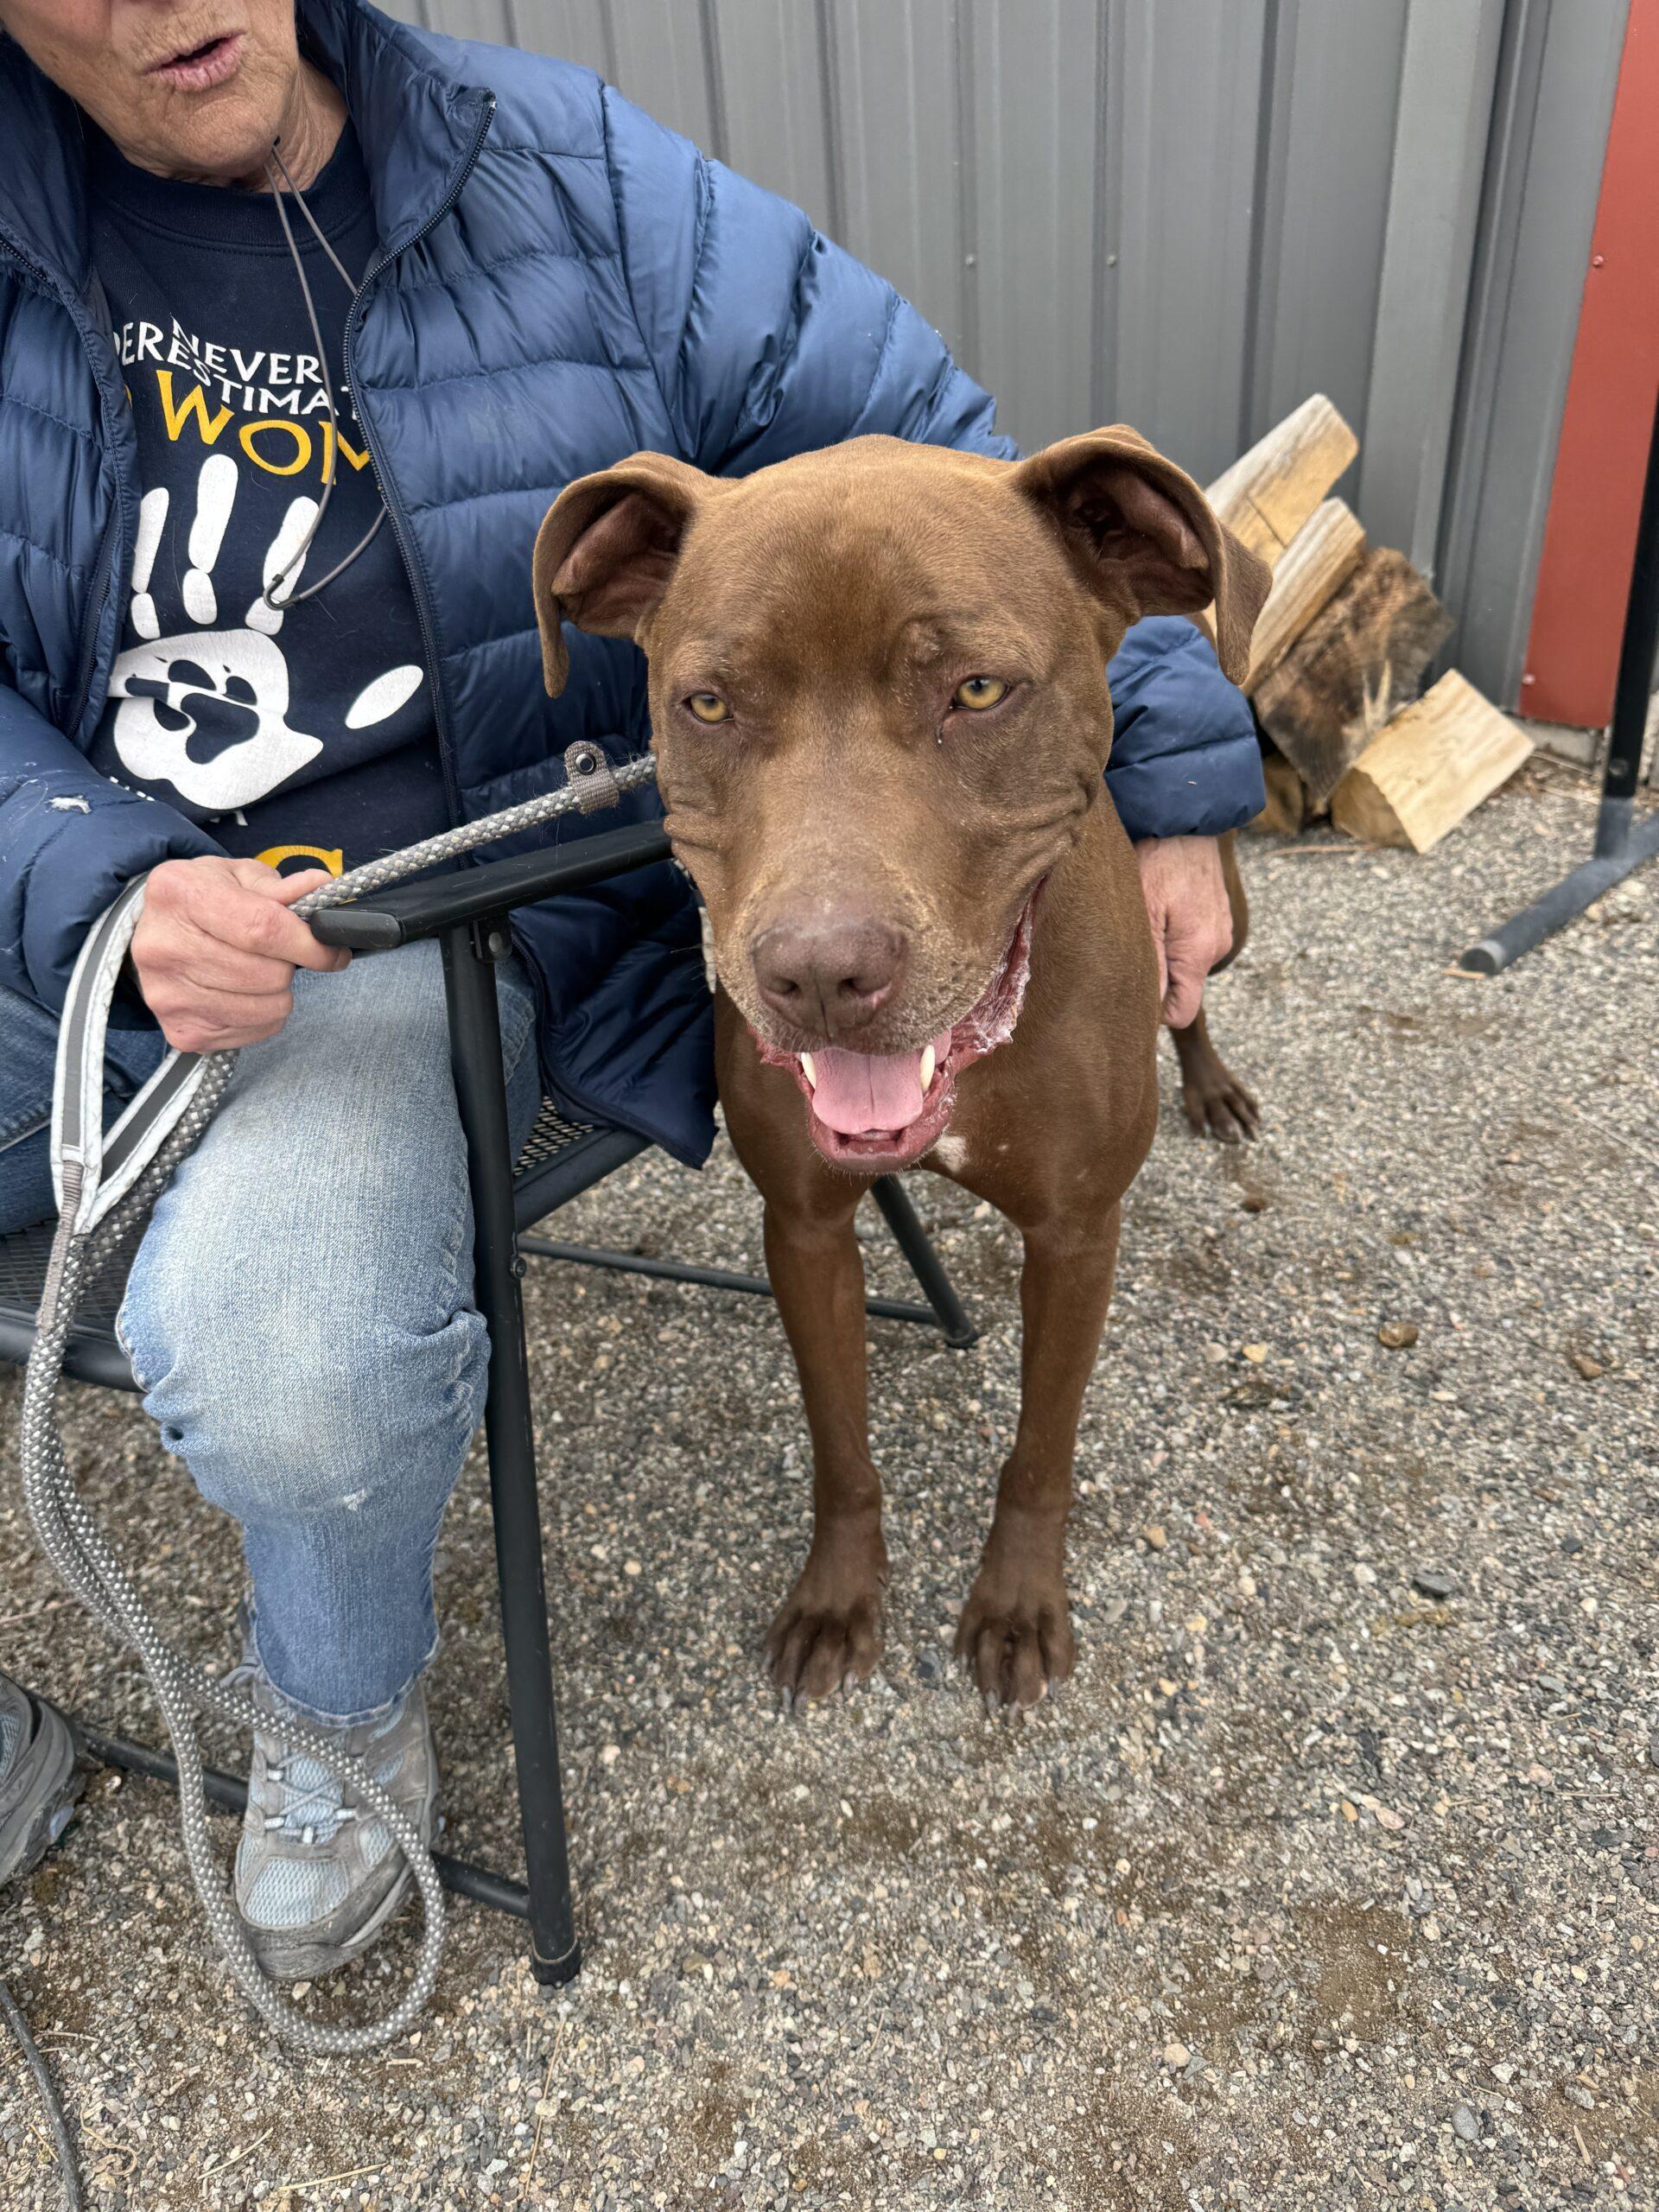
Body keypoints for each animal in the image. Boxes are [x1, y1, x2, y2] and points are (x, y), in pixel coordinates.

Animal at [539, 431, 1265, 1707]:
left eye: (975, 690)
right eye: (709, 703)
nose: (819, 973)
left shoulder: (1077, 1237)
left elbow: (1041, 1448)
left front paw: (1017, 1605)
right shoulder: (804, 1229)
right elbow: (840, 1445)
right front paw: (837, 1600)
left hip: (1219, 894)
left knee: (1195, 981)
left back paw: (1213, 1086)